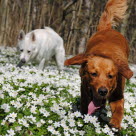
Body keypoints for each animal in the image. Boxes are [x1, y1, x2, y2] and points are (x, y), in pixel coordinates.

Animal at [65, 0, 133, 130]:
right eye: (93, 74)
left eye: (110, 76)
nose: (103, 91)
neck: (105, 54)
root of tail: (107, 28)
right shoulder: (84, 87)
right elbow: (84, 104)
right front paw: (83, 117)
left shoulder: (117, 93)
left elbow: (119, 109)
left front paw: (115, 123)